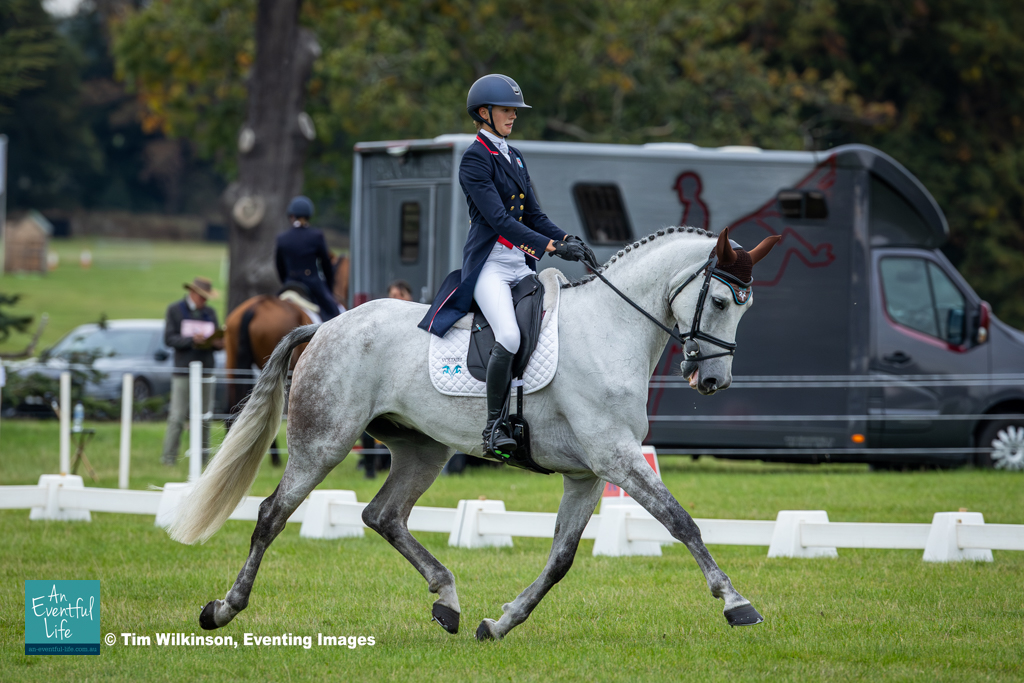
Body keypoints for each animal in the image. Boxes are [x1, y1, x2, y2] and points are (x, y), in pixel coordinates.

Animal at [171, 226, 781, 640]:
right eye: (720, 301)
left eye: (747, 308)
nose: (713, 380)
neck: (612, 330)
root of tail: (326, 325)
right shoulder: (617, 459)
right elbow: (682, 523)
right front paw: (736, 603)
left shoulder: (588, 474)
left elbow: (561, 558)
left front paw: (502, 621)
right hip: (324, 441)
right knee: (272, 514)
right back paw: (223, 608)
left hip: (422, 449)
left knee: (383, 515)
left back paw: (449, 601)